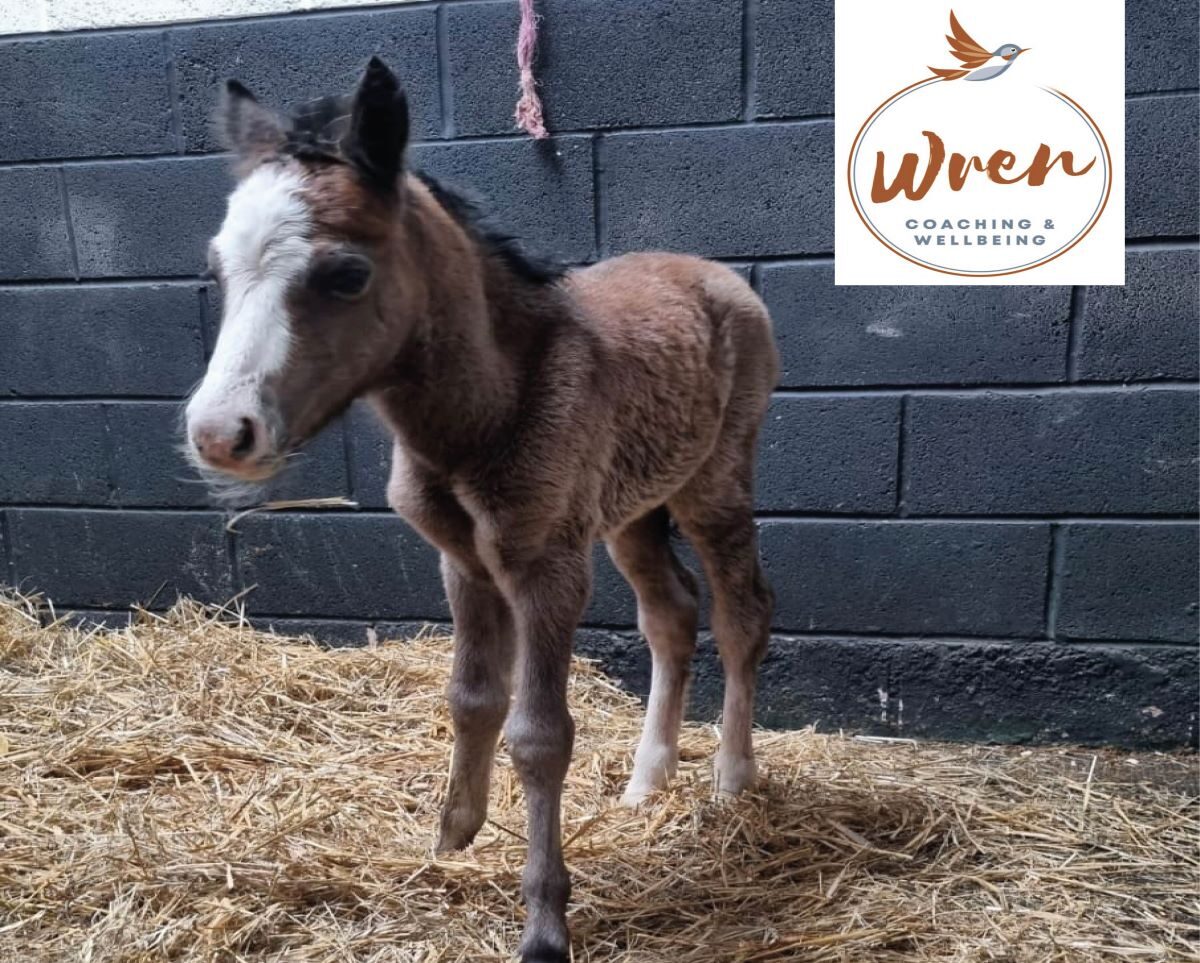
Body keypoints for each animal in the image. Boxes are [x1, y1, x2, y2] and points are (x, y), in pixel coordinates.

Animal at [184, 57, 779, 963]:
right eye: (217, 272)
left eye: (346, 274)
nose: (221, 433)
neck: (481, 412)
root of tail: (714, 275)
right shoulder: (461, 559)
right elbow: (470, 695)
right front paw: (451, 837)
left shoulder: (547, 566)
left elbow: (540, 734)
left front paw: (543, 923)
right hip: (631, 509)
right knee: (671, 614)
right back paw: (647, 780)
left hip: (713, 482)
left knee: (741, 610)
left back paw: (732, 777)